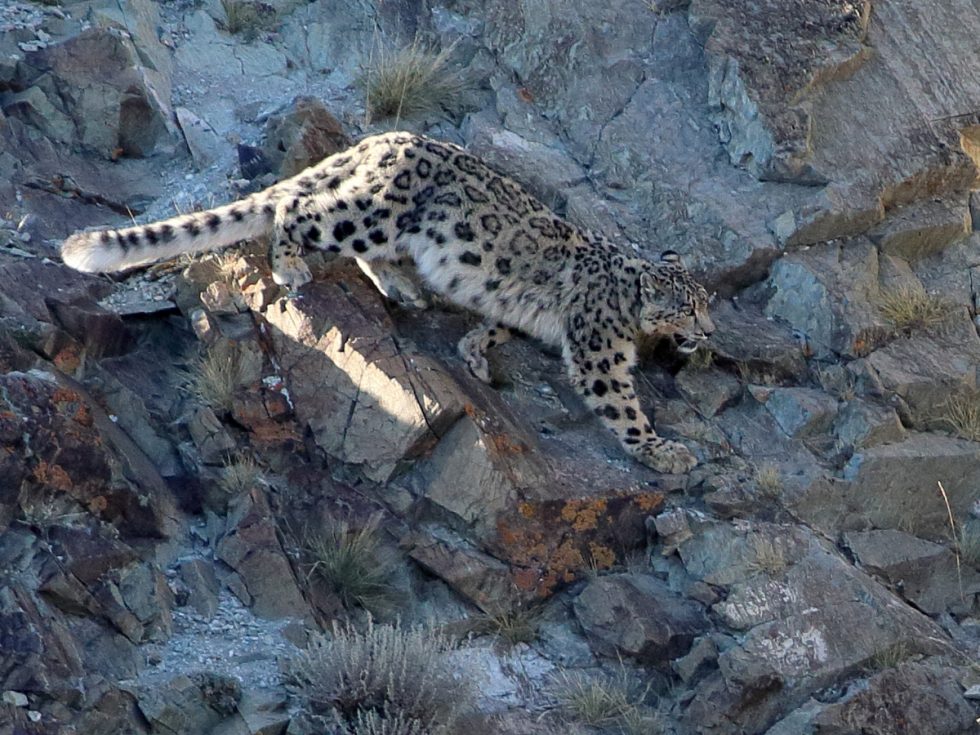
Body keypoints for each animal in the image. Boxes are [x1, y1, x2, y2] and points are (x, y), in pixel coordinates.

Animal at [61, 131, 715, 473]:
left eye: (707, 302)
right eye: (688, 307)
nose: (708, 333)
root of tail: (385, 137)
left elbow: (502, 321)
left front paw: (477, 350)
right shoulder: (599, 348)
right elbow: (621, 402)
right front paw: (662, 450)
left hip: (386, 226)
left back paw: (404, 288)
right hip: (373, 214)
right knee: (298, 209)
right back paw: (292, 264)